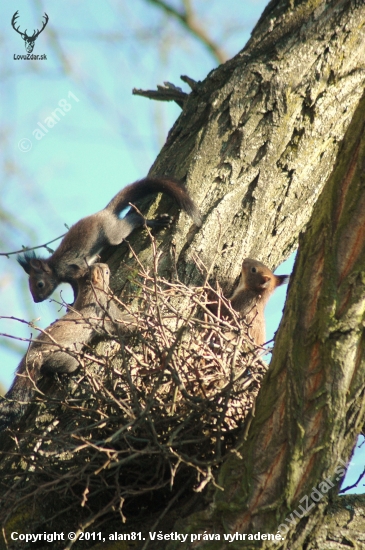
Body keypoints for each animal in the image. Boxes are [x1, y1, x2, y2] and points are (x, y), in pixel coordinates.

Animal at [0, 264, 136, 432]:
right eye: (105, 272)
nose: (106, 266)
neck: (89, 293)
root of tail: (32, 354)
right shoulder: (106, 311)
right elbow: (122, 324)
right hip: (66, 358)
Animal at [17, 178, 202, 304]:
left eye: (39, 284)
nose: (36, 300)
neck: (55, 268)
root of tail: (105, 212)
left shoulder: (72, 270)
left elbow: (78, 285)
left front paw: (73, 302)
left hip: (114, 234)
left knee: (134, 220)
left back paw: (154, 222)